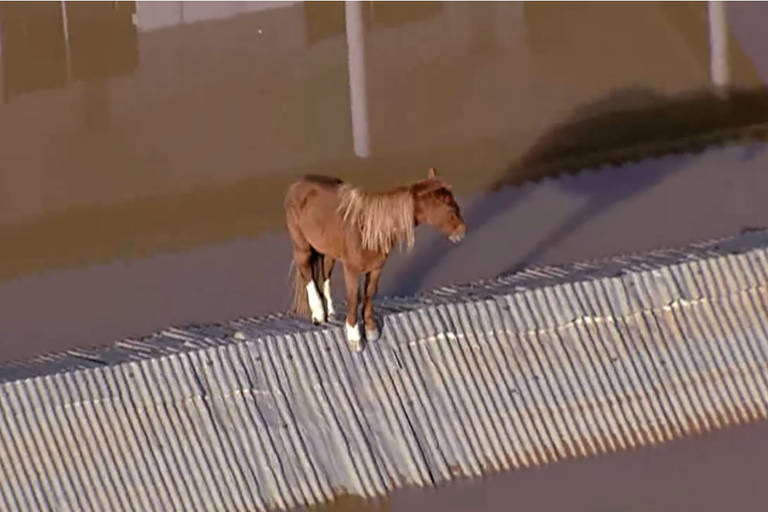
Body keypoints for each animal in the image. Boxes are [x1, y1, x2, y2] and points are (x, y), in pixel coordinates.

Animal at [284, 167, 466, 351]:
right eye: (449, 206)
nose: (462, 231)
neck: (367, 229)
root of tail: (297, 184)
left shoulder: (376, 268)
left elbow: (369, 294)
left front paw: (371, 330)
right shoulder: (351, 270)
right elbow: (353, 298)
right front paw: (354, 337)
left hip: (328, 250)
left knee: (325, 274)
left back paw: (329, 311)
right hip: (302, 246)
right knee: (307, 273)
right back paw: (318, 313)